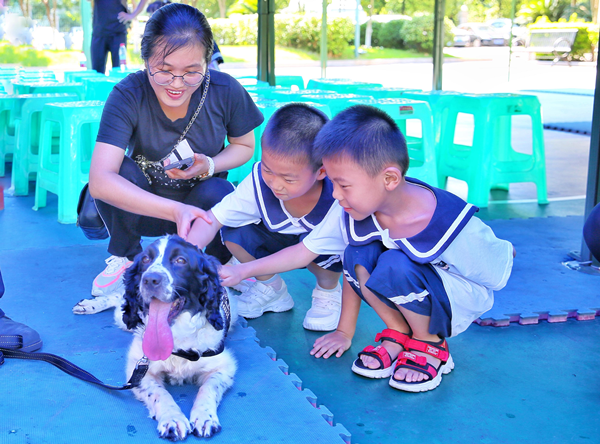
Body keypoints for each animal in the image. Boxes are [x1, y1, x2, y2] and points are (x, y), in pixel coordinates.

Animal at [120, 236, 236, 440]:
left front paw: (204, 416)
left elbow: (208, 388)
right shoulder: (139, 371)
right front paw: (172, 419)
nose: (150, 279)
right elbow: (159, 394)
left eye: (180, 260)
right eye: (145, 259)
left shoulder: (224, 366)